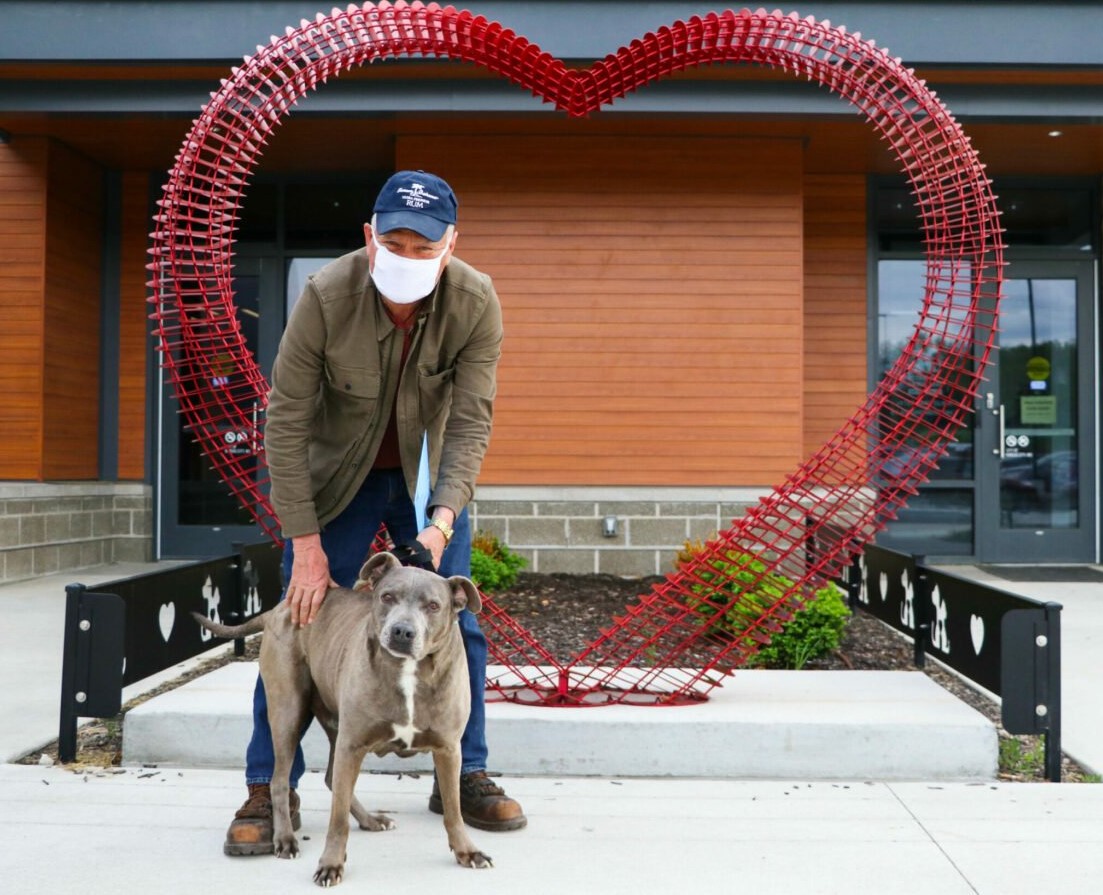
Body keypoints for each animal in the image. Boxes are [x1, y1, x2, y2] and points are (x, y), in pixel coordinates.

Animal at [194, 549, 491, 887]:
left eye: (433, 606)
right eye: (387, 597)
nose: (402, 631)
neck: (408, 671)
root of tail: (279, 608)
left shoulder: (448, 750)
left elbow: (453, 810)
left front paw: (467, 851)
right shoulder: (352, 745)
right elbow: (336, 821)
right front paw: (331, 864)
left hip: (335, 727)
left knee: (330, 779)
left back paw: (370, 820)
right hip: (288, 711)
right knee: (281, 780)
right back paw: (284, 839)